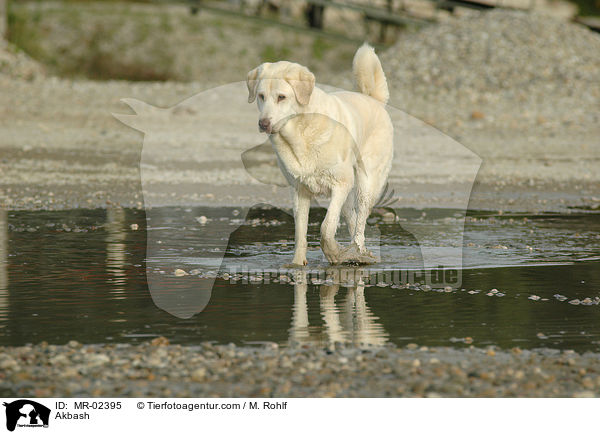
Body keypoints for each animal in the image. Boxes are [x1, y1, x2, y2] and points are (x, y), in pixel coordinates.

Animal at [247, 43, 394, 264]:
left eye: (281, 97)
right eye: (261, 96)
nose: (263, 124)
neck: (300, 133)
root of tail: (374, 99)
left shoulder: (340, 184)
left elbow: (326, 227)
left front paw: (334, 253)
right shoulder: (298, 190)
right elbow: (300, 232)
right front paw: (297, 264)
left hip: (366, 185)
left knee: (360, 222)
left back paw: (358, 252)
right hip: (349, 193)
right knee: (351, 218)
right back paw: (356, 251)